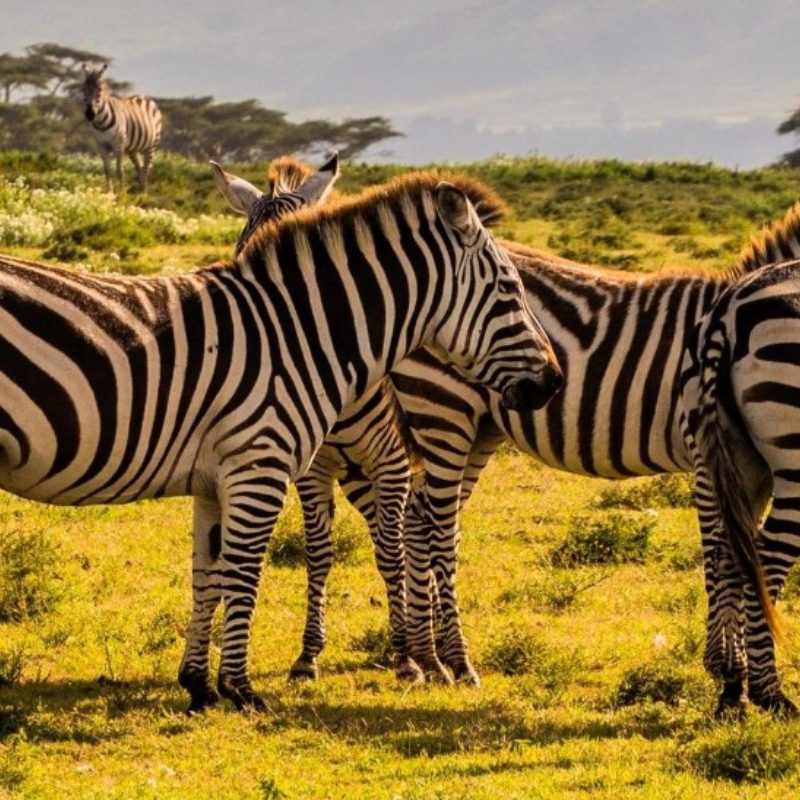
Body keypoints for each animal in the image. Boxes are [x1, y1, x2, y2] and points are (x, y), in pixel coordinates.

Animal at [0, 169, 562, 713]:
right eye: (510, 291)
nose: (553, 383)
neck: (298, 335)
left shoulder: (214, 479)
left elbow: (208, 576)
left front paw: (198, 687)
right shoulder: (259, 466)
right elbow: (244, 574)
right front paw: (240, 689)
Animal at [81, 63, 162, 194]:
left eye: (100, 90)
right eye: (83, 90)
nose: (89, 114)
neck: (101, 123)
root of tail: (143, 96)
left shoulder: (118, 144)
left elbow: (119, 170)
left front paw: (122, 193)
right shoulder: (101, 144)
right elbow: (107, 170)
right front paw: (109, 193)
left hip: (151, 145)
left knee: (146, 169)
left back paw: (144, 194)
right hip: (133, 149)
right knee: (139, 168)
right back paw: (140, 193)